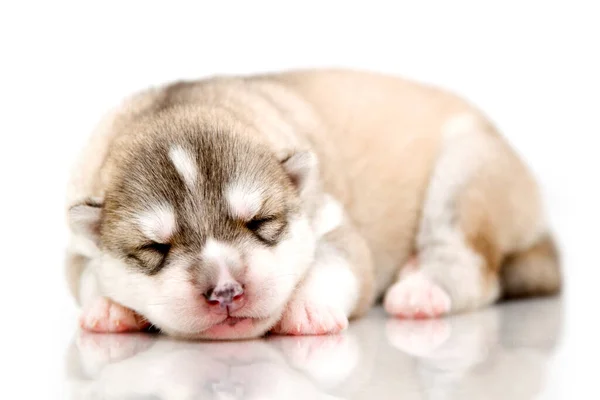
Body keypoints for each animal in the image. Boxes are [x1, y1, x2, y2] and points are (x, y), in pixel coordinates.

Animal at [65, 68, 564, 338]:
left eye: (260, 221)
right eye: (155, 248)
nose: (226, 291)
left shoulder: (332, 221)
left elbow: (332, 261)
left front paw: (306, 306)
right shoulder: (76, 248)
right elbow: (89, 276)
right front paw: (110, 308)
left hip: (467, 173)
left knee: (474, 269)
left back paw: (420, 288)